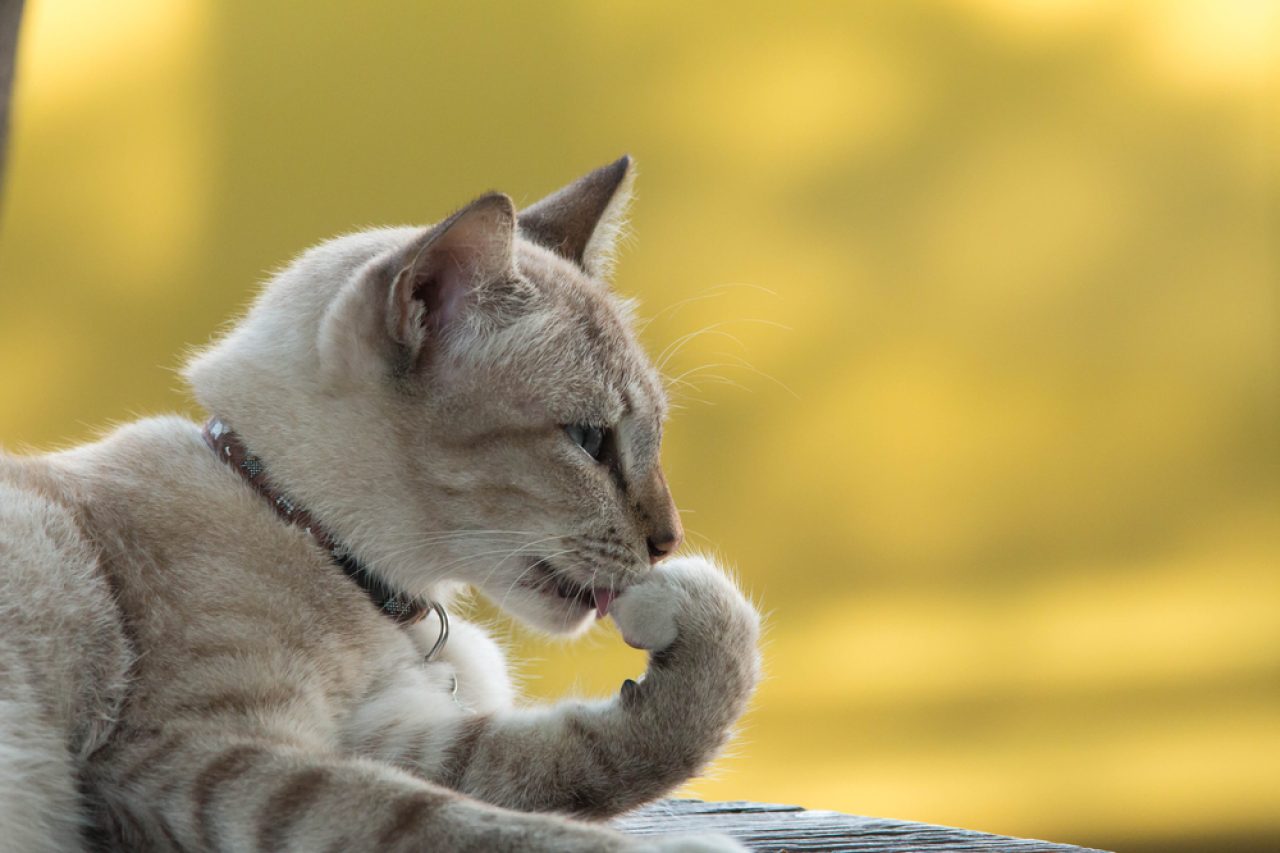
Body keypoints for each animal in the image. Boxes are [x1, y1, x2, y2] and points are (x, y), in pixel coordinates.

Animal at [0, 156, 757, 845]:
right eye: (590, 439)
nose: (669, 542)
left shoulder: (384, 737)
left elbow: (575, 761)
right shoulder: (197, 759)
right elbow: (454, 820)